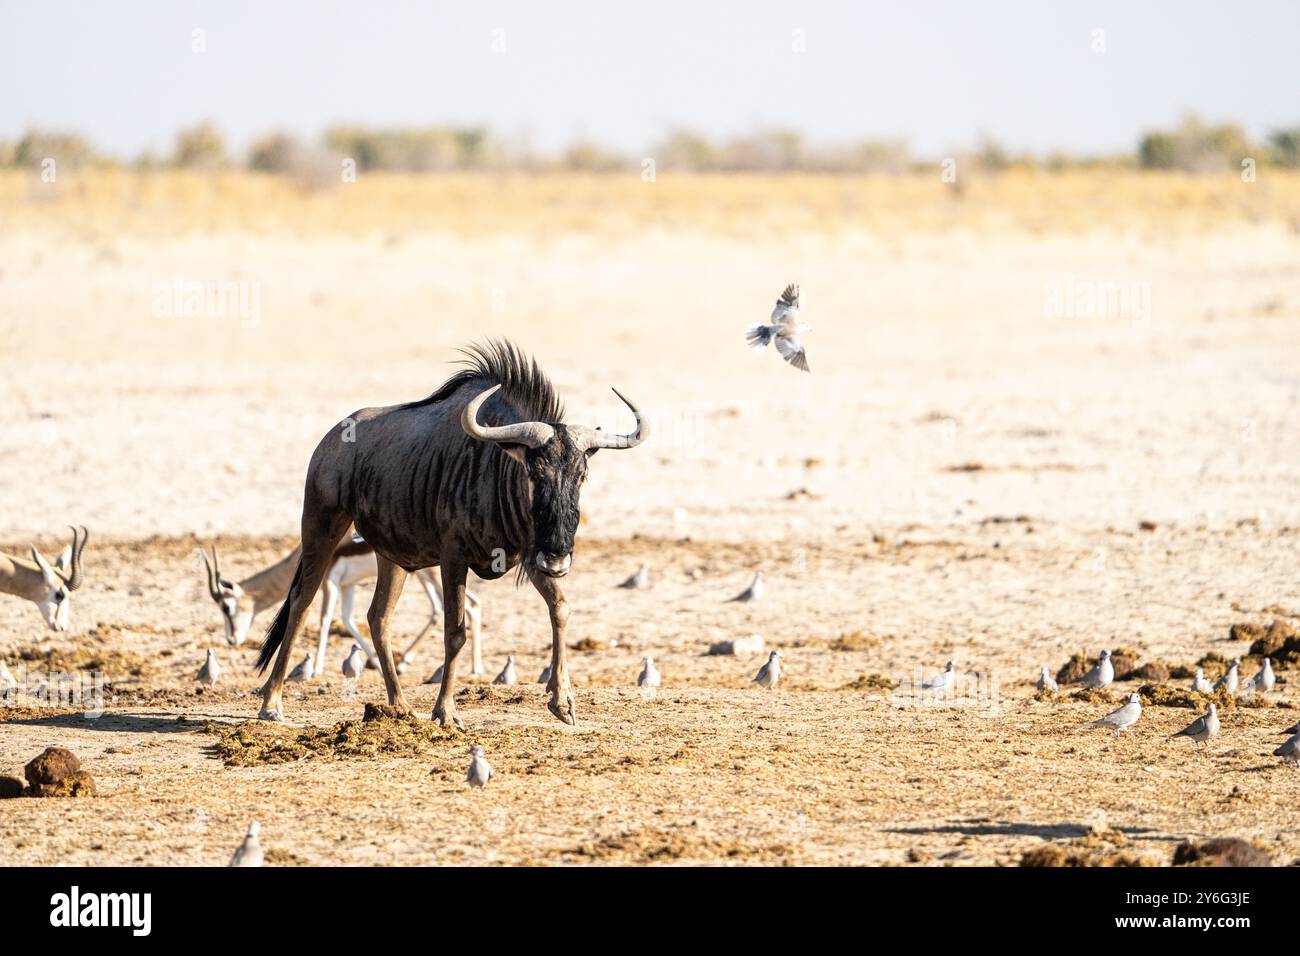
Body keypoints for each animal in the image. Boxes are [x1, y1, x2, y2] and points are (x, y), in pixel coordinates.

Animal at [200, 537, 483, 675]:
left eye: (226, 608)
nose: (231, 640)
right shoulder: (348, 585)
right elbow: (347, 620)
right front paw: (372, 660)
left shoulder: (330, 582)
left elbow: (324, 619)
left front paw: (316, 668)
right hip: (422, 574)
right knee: (443, 609)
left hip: (431, 573)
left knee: (471, 605)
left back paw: (475, 669)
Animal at [256, 340, 647, 725]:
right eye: (535, 473)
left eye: (581, 476)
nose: (559, 556)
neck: (498, 467)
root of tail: (330, 442)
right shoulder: (453, 558)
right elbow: (455, 631)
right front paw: (445, 710)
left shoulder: (531, 555)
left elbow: (560, 608)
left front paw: (562, 700)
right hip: (321, 527)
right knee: (301, 603)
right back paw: (272, 703)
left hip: (390, 556)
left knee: (378, 617)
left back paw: (400, 706)